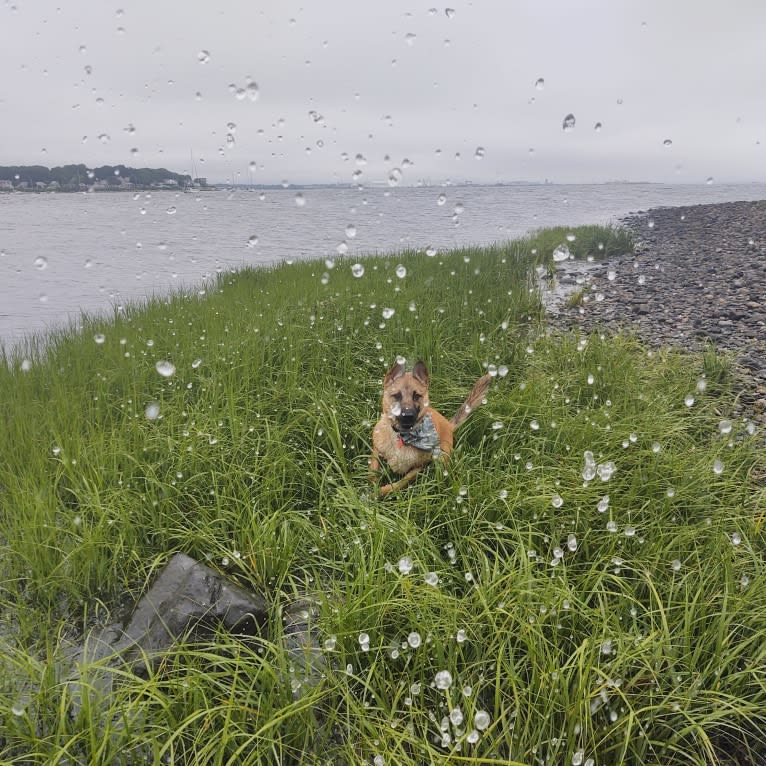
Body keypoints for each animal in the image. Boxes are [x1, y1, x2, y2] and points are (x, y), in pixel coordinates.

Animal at [370, 360, 492, 498]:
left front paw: (384, 490)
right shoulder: (376, 450)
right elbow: (373, 469)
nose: (408, 415)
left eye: (416, 396)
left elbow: (404, 480)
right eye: (397, 396)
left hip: (442, 457)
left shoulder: (420, 466)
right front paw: (375, 486)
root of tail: (448, 425)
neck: (403, 436)